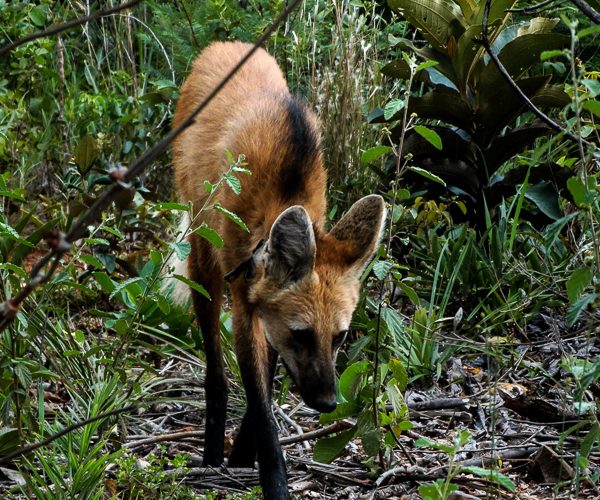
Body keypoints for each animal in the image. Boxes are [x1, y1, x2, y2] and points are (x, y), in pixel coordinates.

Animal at [171, 41, 385, 499]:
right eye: (302, 334)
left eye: (340, 337)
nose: (327, 403)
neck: (284, 190)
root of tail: (225, 44)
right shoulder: (243, 299)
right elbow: (259, 400)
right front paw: (270, 479)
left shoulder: (263, 310)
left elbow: (265, 390)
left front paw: (242, 456)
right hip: (203, 258)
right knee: (215, 369)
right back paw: (211, 454)